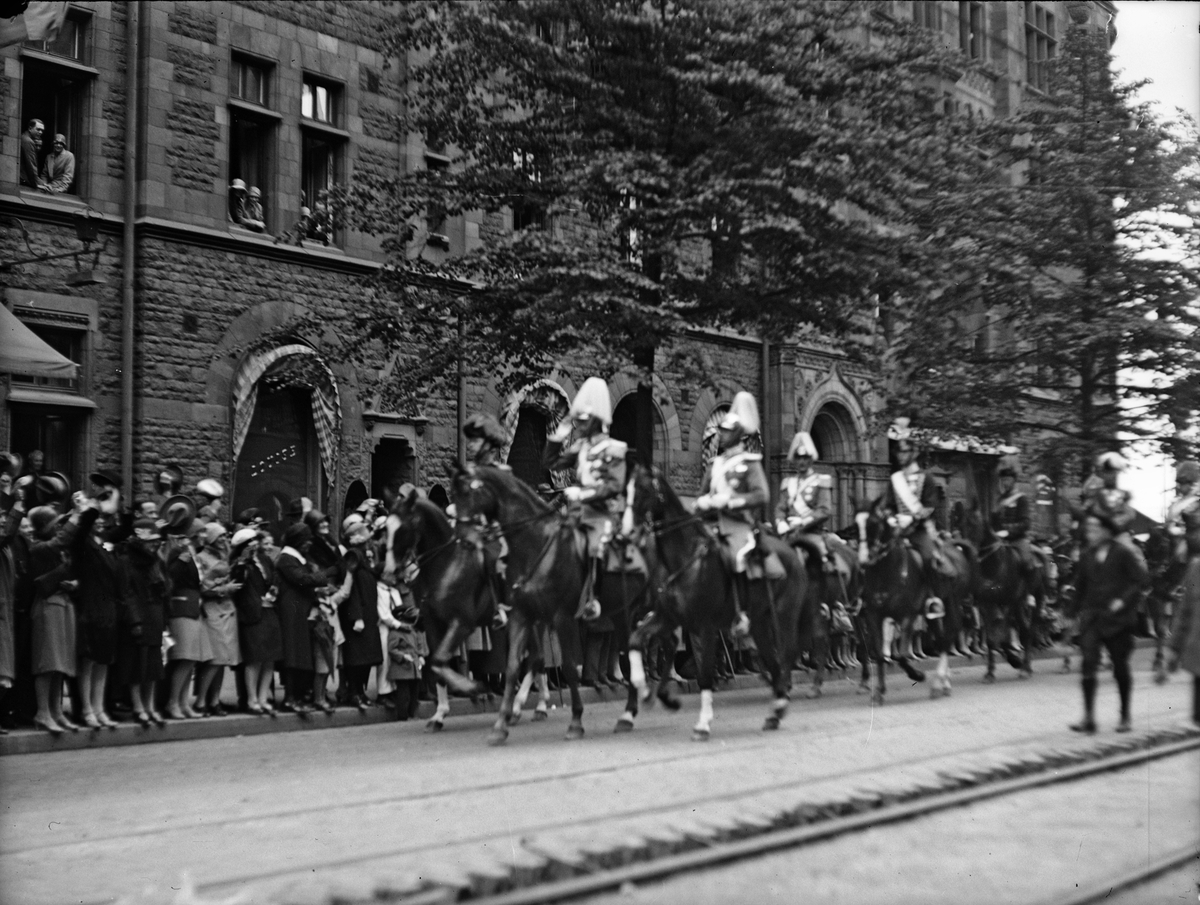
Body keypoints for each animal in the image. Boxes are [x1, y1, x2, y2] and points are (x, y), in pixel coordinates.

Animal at [384, 489, 552, 729]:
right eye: (385, 528)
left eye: (403, 529)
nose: (389, 572)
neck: (445, 564)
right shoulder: (433, 624)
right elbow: (436, 664)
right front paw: (439, 714)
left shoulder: (461, 623)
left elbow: (439, 660)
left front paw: (474, 688)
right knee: (534, 660)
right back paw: (534, 705)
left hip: (534, 620)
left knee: (535, 659)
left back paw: (521, 706)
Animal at [446, 460, 648, 744]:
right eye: (453, 493)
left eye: (468, 491)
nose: (462, 538)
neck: (535, 544)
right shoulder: (522, 616)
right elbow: (513, 667)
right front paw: (501, 725)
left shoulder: (562, 618)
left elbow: (569, 667)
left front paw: (575, 721)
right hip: (619, 613)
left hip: (629, 611)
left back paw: (629, 713)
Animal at [619, 460, 806, 734]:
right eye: (627, 490)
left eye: (643, 490)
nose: (627, 532)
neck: (684, 558)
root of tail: (791, 552)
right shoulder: (667, 616)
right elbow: (636, 641)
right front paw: (645, 693)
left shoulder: (703, 626)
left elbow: (704, 673)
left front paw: (703, 723)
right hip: (760, 624)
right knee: (773, 660)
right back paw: (775, 710)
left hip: (783, 616)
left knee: (786, 654)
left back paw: (780, 702)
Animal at [854, 504, 974, 700]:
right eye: (856, 526)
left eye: (873, 524)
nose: (864, 559)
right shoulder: (873, 615)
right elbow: (879, 653)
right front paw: (879, 691)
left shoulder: (908, 615)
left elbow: (902, 656)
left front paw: (918, 675)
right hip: (934, 612)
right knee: (940, 637)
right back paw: (944, 683)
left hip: (951, 601)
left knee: (949, 633)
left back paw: (938, 682)